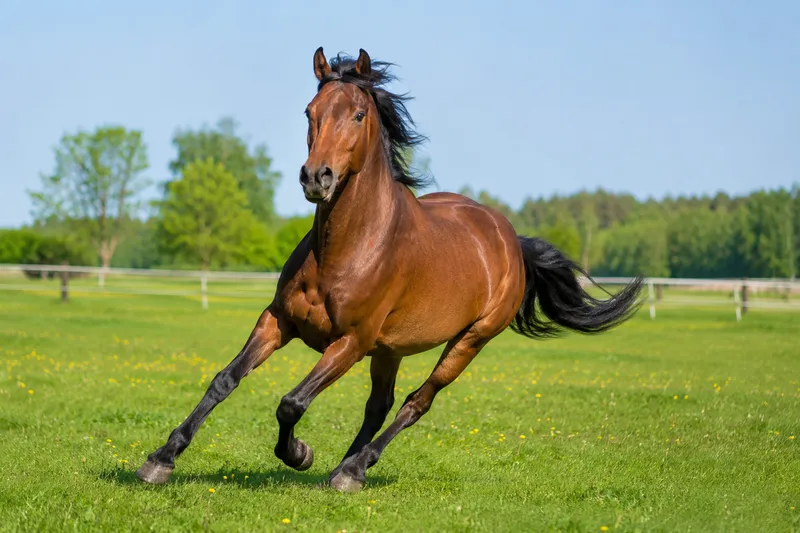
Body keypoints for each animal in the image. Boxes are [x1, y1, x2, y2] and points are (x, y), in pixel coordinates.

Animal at [136, 47, 643, 492]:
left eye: (359, 115)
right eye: (309, 111)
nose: (316, 177)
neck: (345, 250)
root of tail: (510, 241)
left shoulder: (351, 342)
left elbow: (291, 403)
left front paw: (299, 453)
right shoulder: (278, 321)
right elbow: (225, 380)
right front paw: (160, 460)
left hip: (469, 341)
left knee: (416, 402)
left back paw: (354, 469)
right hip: (391, 349)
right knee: (379, 405)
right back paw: (344, 469)